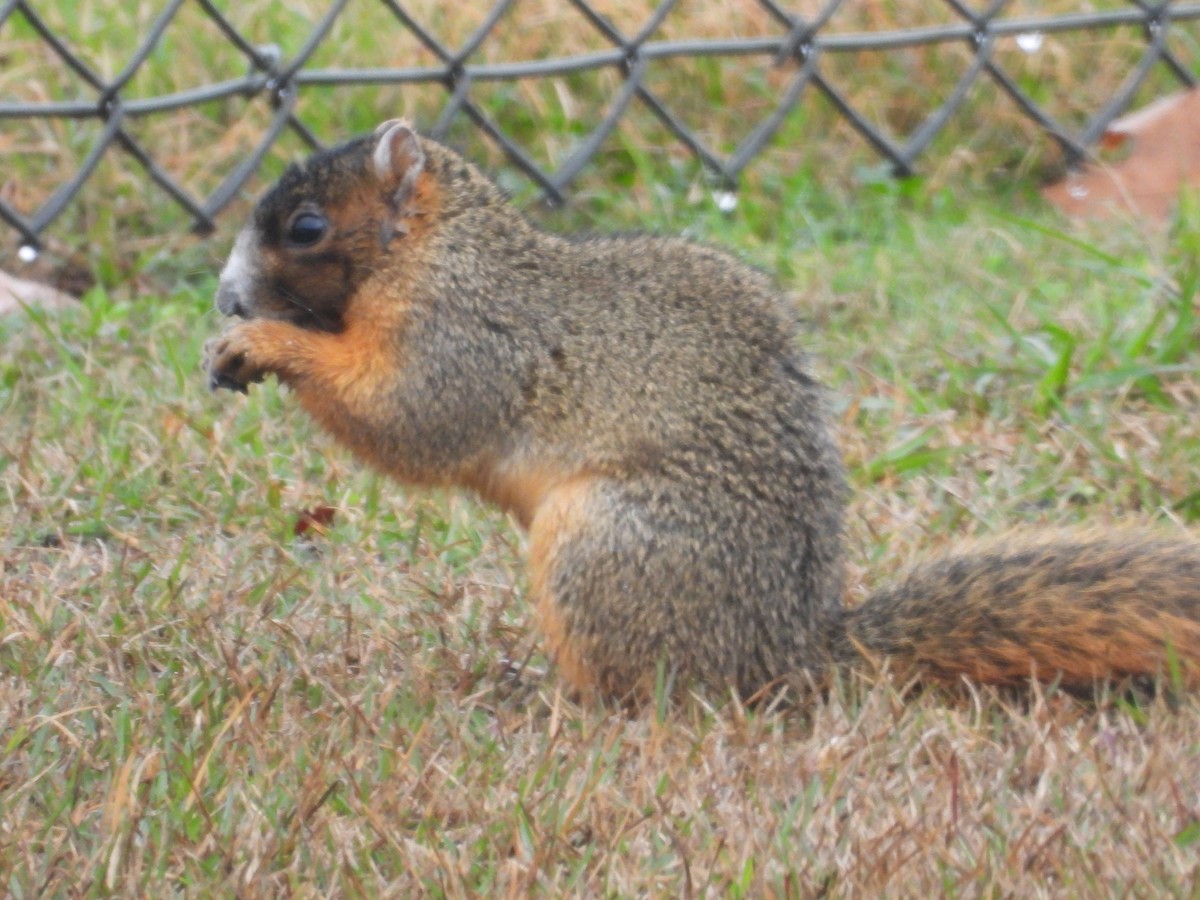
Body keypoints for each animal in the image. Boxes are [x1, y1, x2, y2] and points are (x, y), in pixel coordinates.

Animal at [207, 119, 1200, 701]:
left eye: (305, 227)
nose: (226, 297)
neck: (433, 249)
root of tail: (788, 654)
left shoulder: (467, 334)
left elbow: (409, 417)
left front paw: (266, 345)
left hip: (604, 546)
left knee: (652, 691)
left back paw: (554, 699)